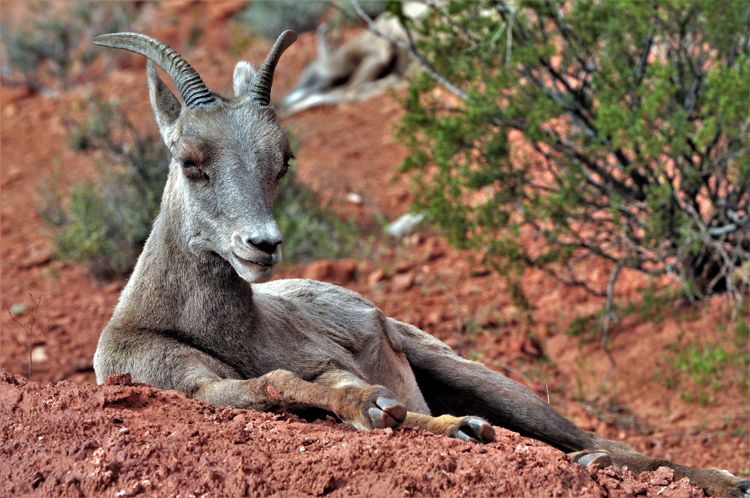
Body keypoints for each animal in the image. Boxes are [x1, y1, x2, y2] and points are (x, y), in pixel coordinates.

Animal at [94, 32, 750, 498]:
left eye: (282, 160)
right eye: (191, 161)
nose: (262, 245)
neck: (213, 329)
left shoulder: (324, 362)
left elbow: (335, 386)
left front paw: (410, 415)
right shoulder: (197, 385)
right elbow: (275, 385)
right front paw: (409, 416)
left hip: (478, 376)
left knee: (594, 437)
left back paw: (713, 479)